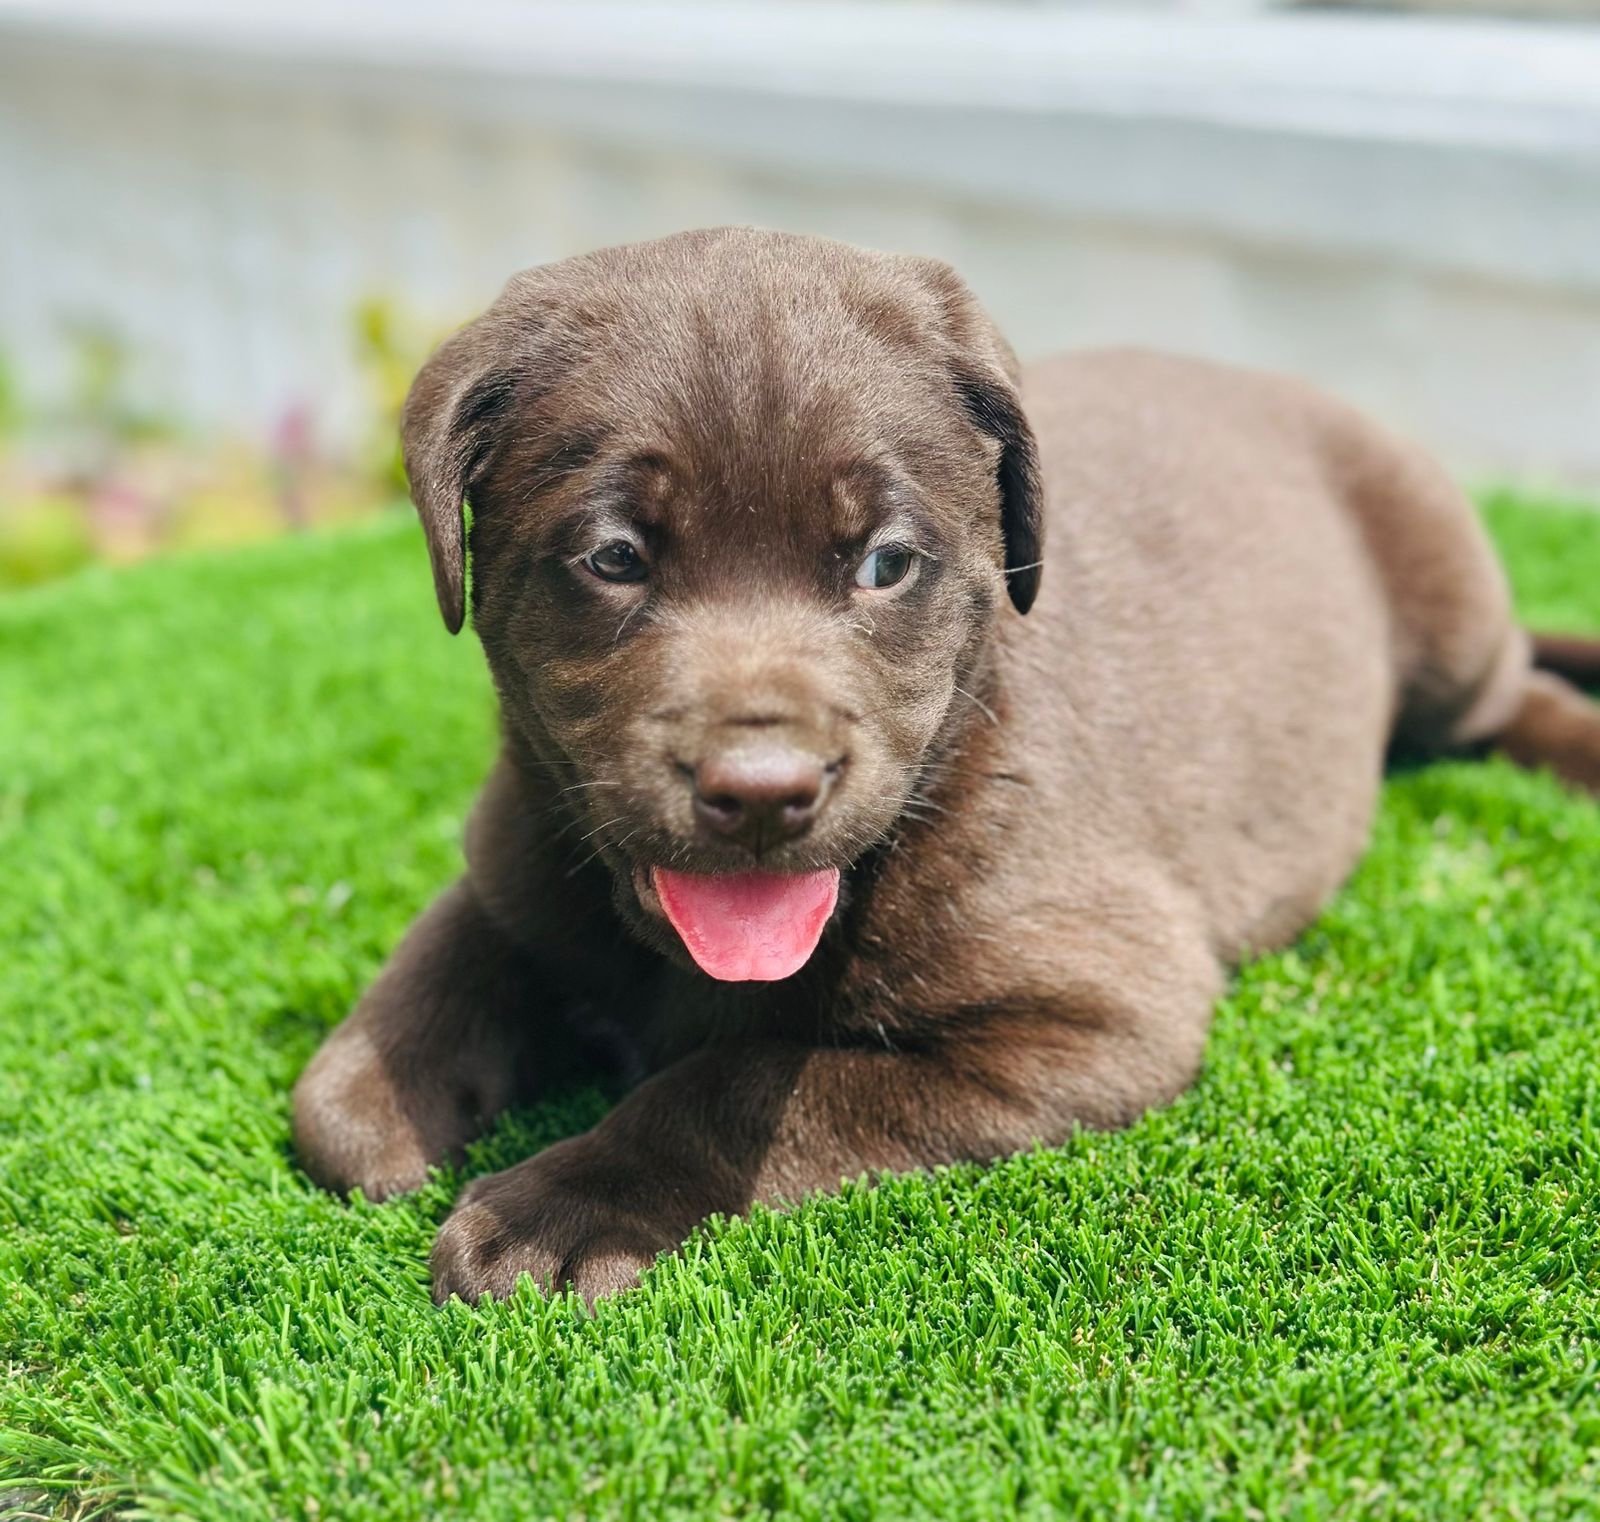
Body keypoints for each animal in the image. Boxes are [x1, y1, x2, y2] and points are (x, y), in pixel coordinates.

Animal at [292, 227, 1600, 1304]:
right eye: (613, 556)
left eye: (885, 562)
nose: (761, 792)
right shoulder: (511, 857)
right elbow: (361, 1067)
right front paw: (388, 1104)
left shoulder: (1094, 1015)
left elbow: (743, 1076)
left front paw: (559, 1209)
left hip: (1444, 609)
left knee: (1511, 695)